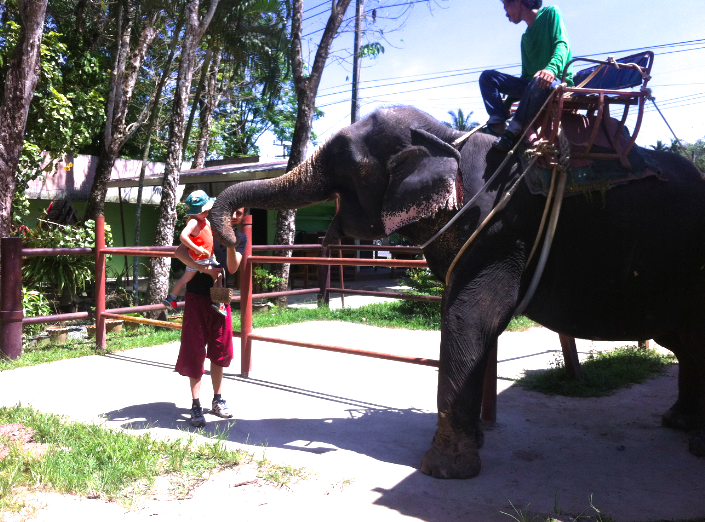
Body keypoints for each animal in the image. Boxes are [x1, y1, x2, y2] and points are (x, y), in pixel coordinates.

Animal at [209, 104, 704, 476]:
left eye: (347, 164)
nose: (234, 236)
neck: (450, 138)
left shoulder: (500, 227)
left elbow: (469, 314)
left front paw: (443, 469)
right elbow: (466, 313)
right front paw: (473, 444)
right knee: (682, 342)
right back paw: (679, 422)